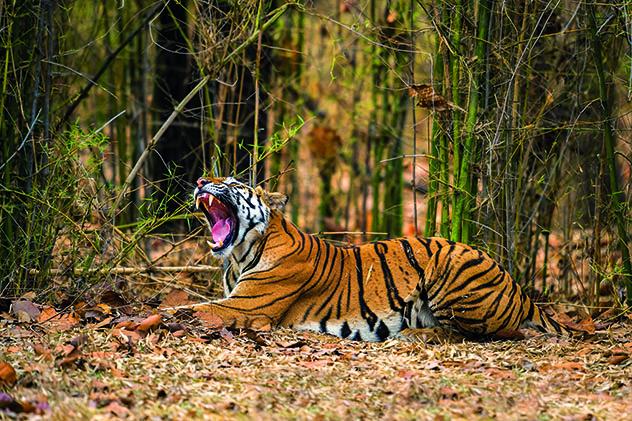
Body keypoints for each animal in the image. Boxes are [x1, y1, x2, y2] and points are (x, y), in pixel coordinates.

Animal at [186, 176, 568, 340]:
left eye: (231, 182)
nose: (201, 180)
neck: (239, 254)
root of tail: (520, 289)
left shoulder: (245, 306)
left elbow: (189, 309)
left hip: (451, 264)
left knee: (476, 333)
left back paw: (413, 335)